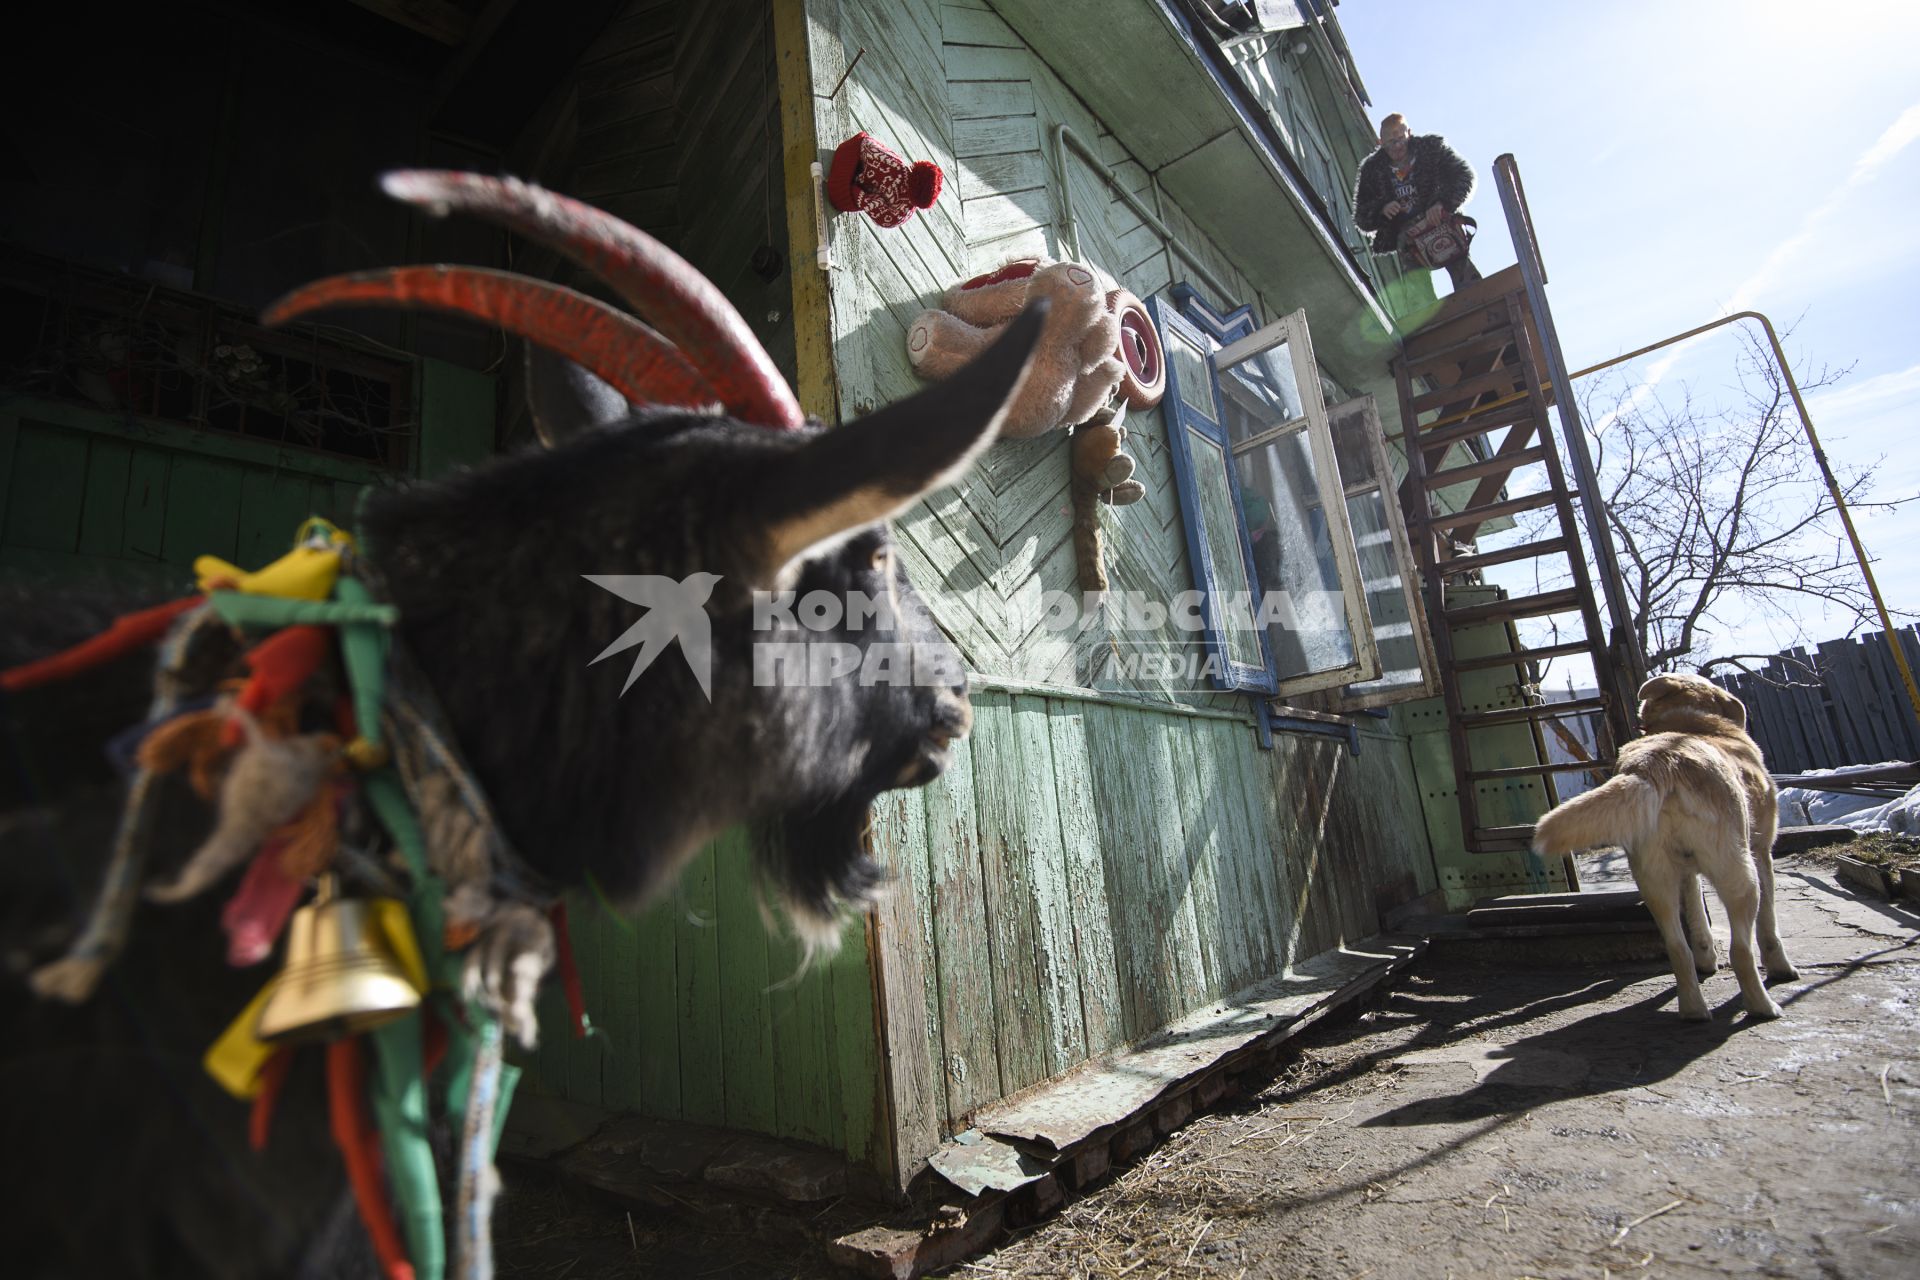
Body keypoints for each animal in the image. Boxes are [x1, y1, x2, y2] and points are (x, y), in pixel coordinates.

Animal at [1528, 671, 1797, 1020]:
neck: (1692, 722)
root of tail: (1657, 764)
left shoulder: (1686, 873)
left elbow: (1696, 918)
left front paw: (1706, 959)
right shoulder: (1762, 853)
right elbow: (1769, 926)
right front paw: (1781, 968)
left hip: (1654, 881)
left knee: (1677, 948)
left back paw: (1694, 1011)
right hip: (1739, 873)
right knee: (1740, 949)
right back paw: (1763, 1007)